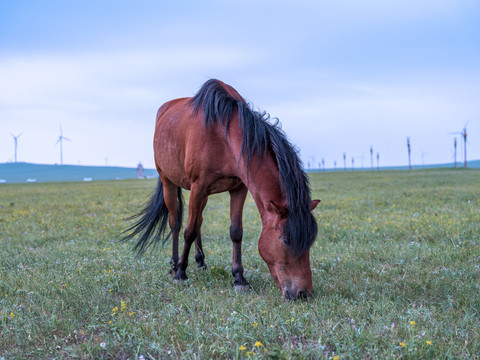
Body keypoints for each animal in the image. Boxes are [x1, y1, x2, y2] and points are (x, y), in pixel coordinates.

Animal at [124, 79, 318, 300]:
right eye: (286, 240)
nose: (303, 293)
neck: (222, 136)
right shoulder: (198, 186)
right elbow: (188, 231)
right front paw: (181, 273)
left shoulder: (238, 188)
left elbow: (235, 232)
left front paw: (239, 278)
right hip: (169, 183)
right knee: (176, 223)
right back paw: (174, 265)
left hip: (203, 194)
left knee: (199, 220)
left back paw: (200, 261)